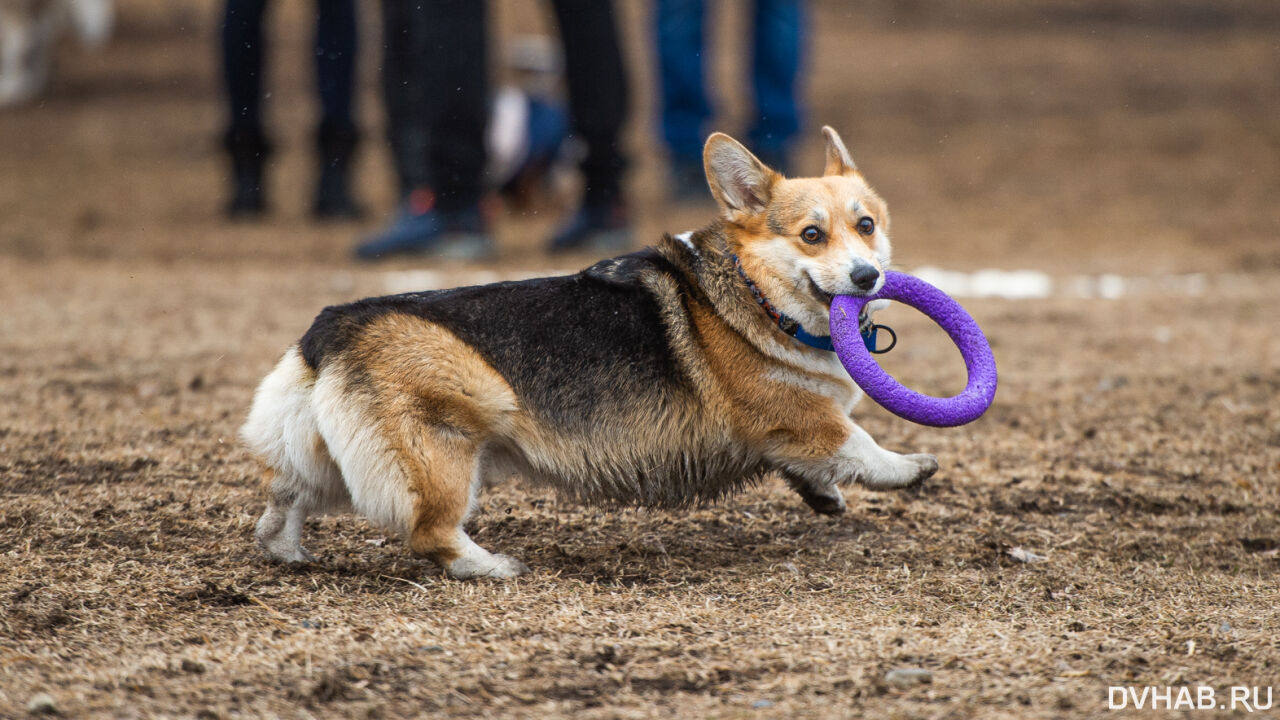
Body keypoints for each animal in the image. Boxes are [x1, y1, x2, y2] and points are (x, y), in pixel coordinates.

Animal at [244, 127, 936, 576]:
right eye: (812, 235)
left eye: (866, 226)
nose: (869, 277)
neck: (754, 295)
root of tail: (329, 329)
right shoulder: (797, 416)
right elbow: (858, 442)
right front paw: (908, 467)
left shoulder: (788, 430)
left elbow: (813, 464)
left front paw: (825, 497)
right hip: (452, 437)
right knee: (430, 533)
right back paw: (493, 566)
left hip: (315, 455)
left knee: (281, 503)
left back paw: (288, 554)